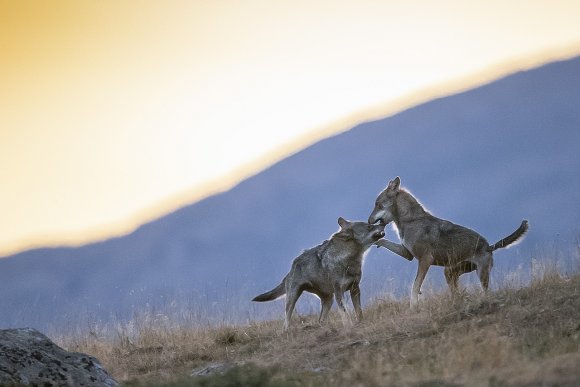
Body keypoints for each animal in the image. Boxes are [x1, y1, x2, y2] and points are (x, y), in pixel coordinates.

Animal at [253, 218, 386, 330]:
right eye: (369, 226)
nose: (382, 223)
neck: (347, 261)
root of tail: (292, 267)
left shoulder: (355, 288)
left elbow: (359, 312)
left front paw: (360, 323)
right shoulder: (339, 292)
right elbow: (345, 313)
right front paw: (349, 326)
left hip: (328, 300)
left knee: (320, 320)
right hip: (293, 298)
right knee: (286, 321)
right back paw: (286, 331)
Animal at [370, 177, 528, 310]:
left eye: (378, 205)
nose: (369, 220)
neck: (410, 221)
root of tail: (489, 246)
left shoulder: (425, 260)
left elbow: (415, 286)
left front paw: (413, 306)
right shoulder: (408, 254)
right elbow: (384, 242)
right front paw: (374, 240)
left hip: (479, 274)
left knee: (486, 292)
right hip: (450, 272)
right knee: (457, 292)